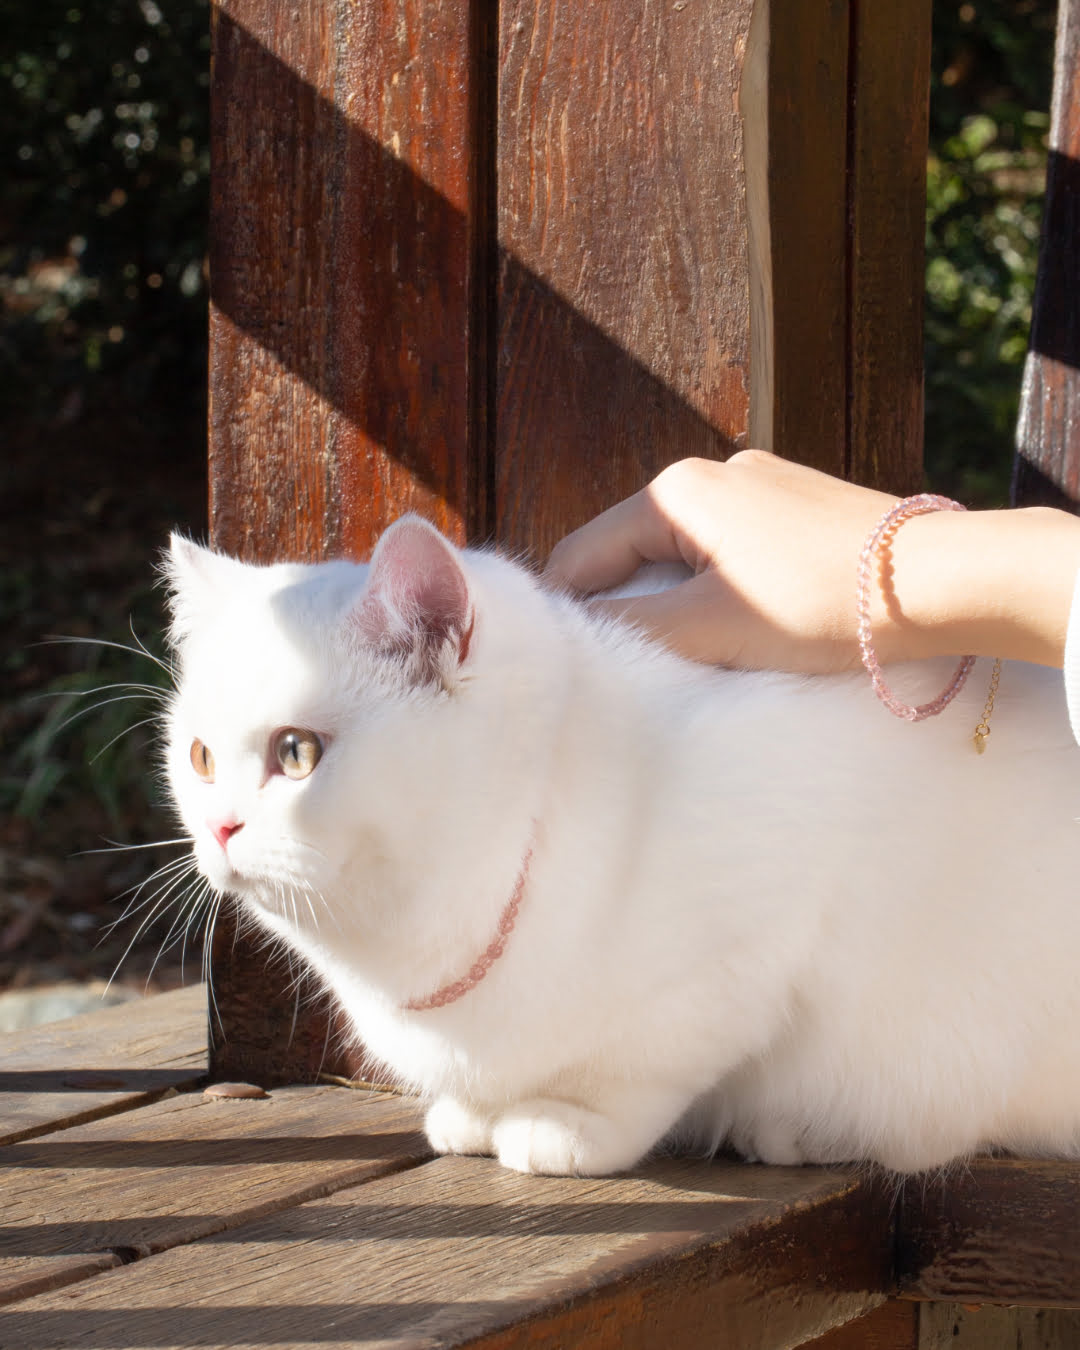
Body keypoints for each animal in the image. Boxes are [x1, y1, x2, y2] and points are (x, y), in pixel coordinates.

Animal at [164, 513, 1080, 1171]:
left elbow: (644, 1068)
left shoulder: (757, 936)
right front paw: (475, 1114)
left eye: (296, 753)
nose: (218, 828)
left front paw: (560, 1124)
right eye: (199, 757)